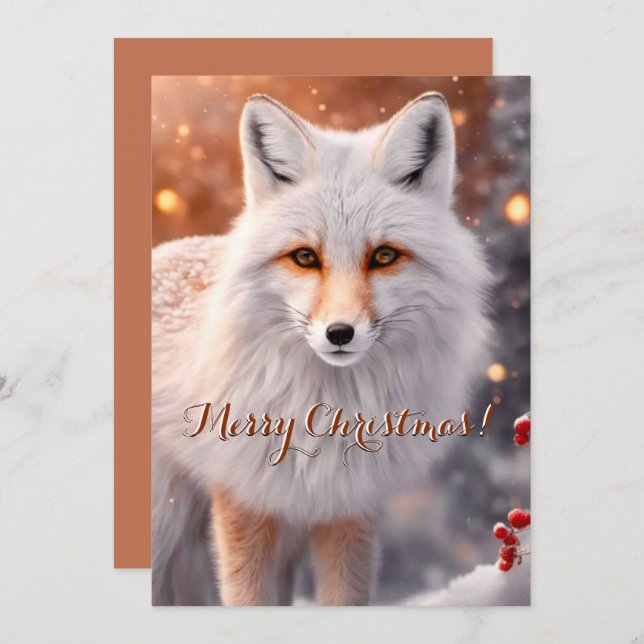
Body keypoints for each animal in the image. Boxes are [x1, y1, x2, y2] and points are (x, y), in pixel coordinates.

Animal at [152, 91, 491, 606]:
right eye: (305, 257)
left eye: (384, 256)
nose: (339, 333)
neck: (324, 411)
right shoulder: (244, 498)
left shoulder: (349, 506)